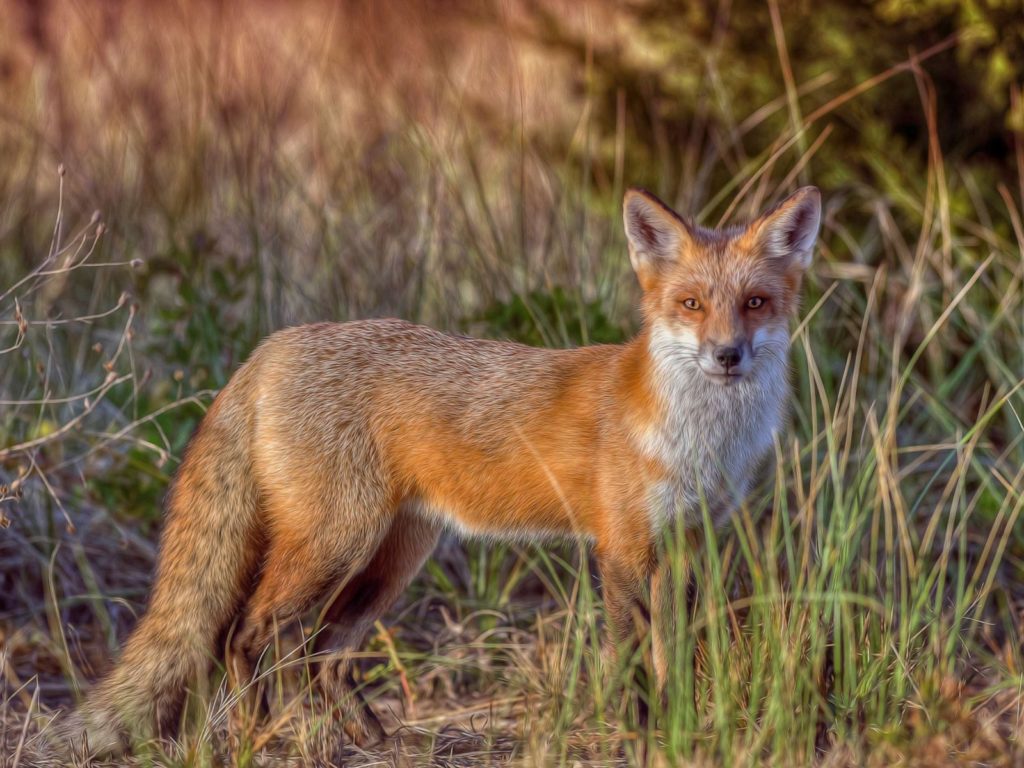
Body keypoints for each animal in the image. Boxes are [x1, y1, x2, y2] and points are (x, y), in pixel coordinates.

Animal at [58, 185, 823, 757]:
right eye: (691, 304)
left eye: (755, 303)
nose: (727, 355)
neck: (699, 440)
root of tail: (272, 345)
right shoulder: (623, 548)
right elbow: (635, 661)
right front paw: (643, 740)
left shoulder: (690, 543)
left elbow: (678, 655)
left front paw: (684, 732)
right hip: (336, 543)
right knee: (246, 634)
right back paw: (258, 739)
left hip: (391, 559)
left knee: (323, 651)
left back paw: (369, 739)